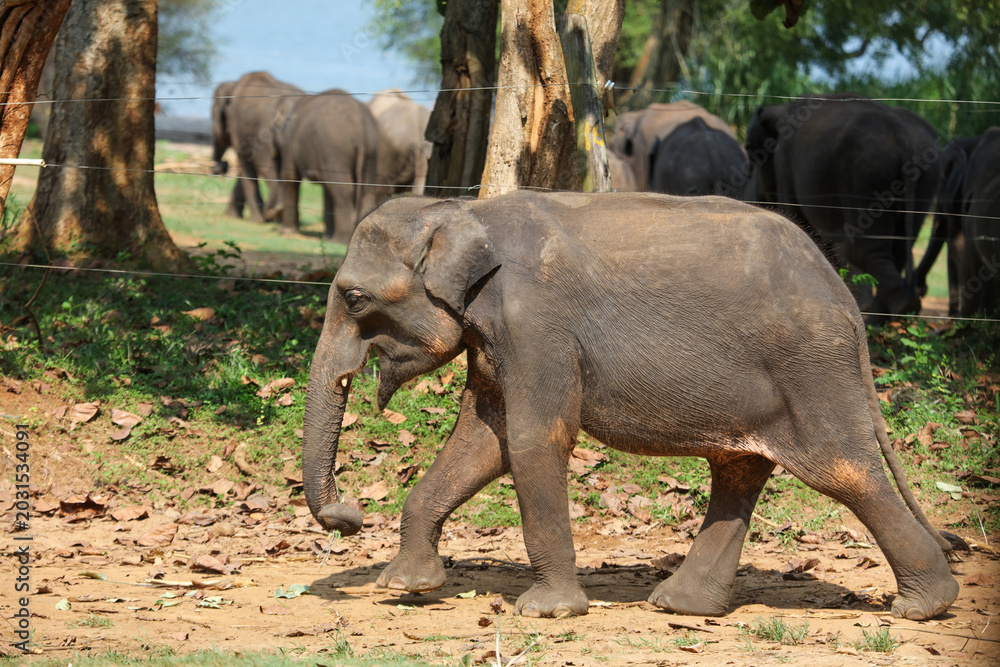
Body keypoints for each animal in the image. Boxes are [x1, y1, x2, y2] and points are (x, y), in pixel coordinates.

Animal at [211, 71, 304, 222]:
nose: (222, 166)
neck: (233, 84)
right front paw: (231, 216)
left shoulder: (241, 130)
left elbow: (245, 165)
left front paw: (256, 220)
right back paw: (278, 212)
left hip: (264, 136)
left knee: (268, 168)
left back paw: (275, 212)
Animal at [265, 89, 379, 245]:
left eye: (272, 129)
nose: (274, 212)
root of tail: (359, 121)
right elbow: (327, 189)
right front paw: (326, 236)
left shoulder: (290, 142)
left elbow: (290, 177)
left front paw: (284, 233)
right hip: (371, 149)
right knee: (367, 190)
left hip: (335, 147)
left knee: (342, 189)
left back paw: (339, 241)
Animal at [301, 190, 958, 622]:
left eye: (354, 299)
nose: (350, 513)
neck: (464, 210)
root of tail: (847, 301)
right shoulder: (495, 338)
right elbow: (484, 442)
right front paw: (404, 586)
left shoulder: (536, 324)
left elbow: (535, 439)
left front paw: (545, 612)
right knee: (739, 471)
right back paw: (680, 606)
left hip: (811, 370)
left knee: (846, 473)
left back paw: (923, 608)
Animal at [746, 95, 941, 320]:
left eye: (752, 151)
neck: (781, 108)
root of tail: (904, 140)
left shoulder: (784, 164)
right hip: (924, 180)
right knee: (898, 247)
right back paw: (891, 313)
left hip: (867, 174)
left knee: (863, 250)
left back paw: (881, 314)